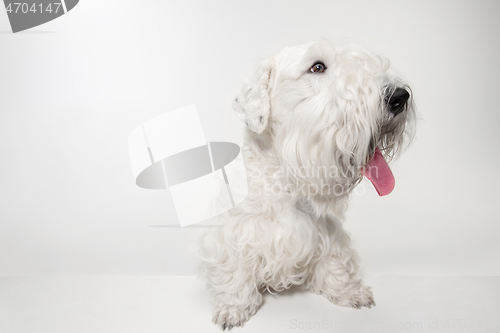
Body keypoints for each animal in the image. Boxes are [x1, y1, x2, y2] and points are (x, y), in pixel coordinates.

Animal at [197, 40, 416, 328]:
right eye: (317, 67)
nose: (399, 97)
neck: (283, 179)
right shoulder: (230, 236)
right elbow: (233, 272)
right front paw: (233, 308)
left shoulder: (326, 232)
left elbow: (334, 262)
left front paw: (349, 291)